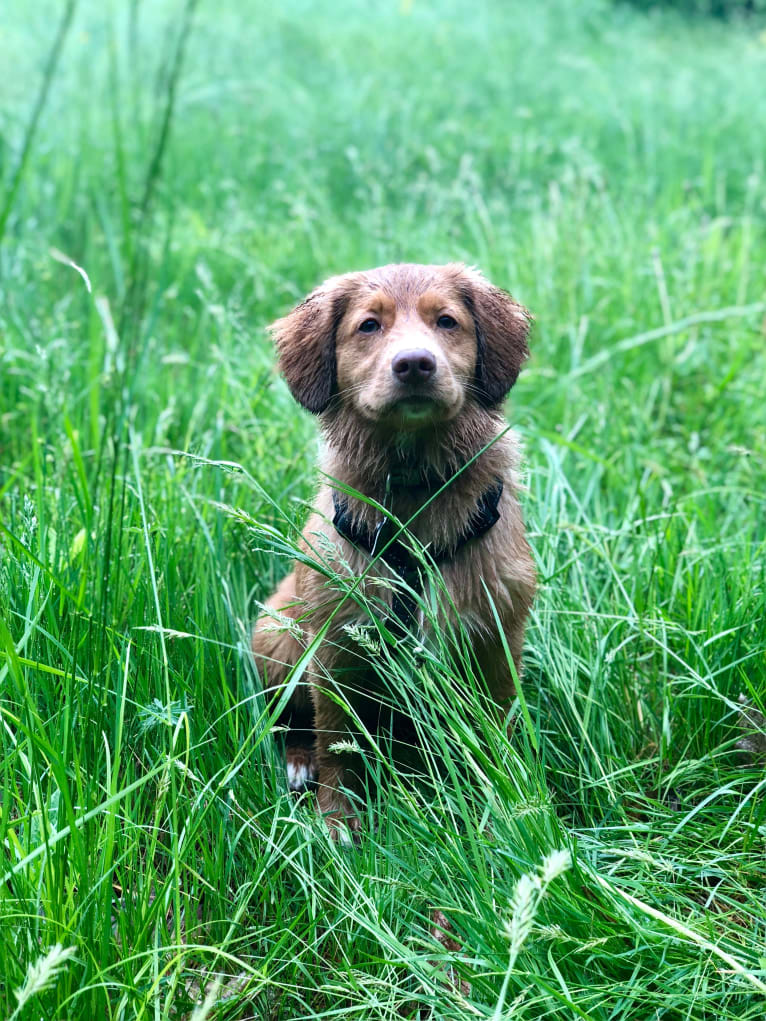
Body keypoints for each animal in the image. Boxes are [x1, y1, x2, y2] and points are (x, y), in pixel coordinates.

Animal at [255, 265, 535, 837]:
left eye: (447, 321)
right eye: (369, 325)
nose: (414, 364)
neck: (411, 489)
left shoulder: (497, 637)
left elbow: (494, 733)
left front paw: (502, 809)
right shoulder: (336, 644)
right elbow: (337, 739)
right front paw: (338, 819)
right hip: (277, 634)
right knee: (294, 722)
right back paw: (299, 763)